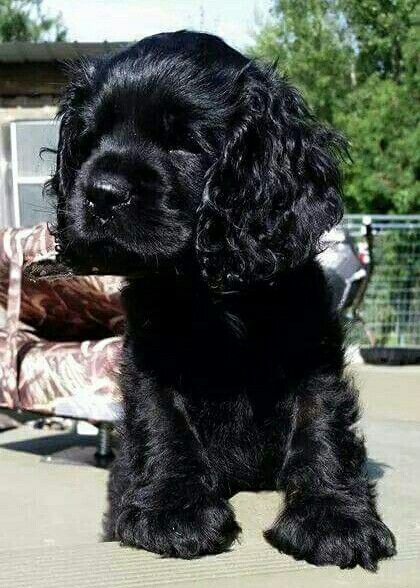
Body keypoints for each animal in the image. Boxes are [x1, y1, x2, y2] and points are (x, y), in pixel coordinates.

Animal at [50, 31, 396, 568]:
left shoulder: (313, 353)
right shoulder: (152, 358)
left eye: (184, 142)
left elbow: (321, 425)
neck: (215, 294)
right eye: (91, 139)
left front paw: (335, 517)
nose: (101, 193)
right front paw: (173, 510)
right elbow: (165, 422)